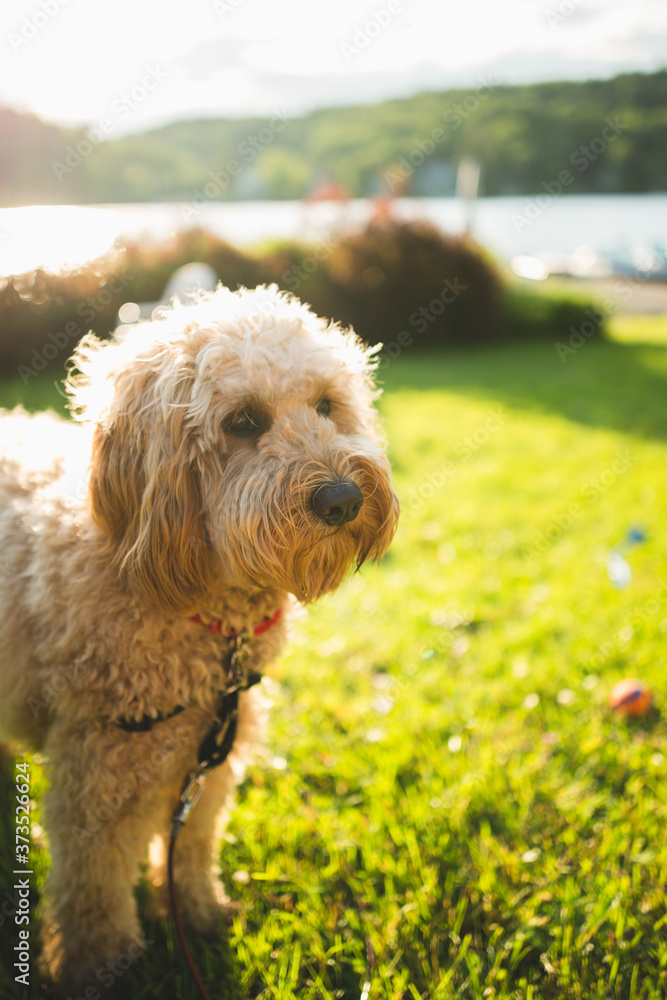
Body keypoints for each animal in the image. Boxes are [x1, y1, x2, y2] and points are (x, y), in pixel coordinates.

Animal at [0, 284, 400, 992]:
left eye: (327, 405)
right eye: (242, 421)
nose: (343, 499)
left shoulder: (210, 755)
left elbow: (191, 844)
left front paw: (198, 914)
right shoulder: (97, 772)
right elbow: (94, 889)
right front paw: (99, 968)